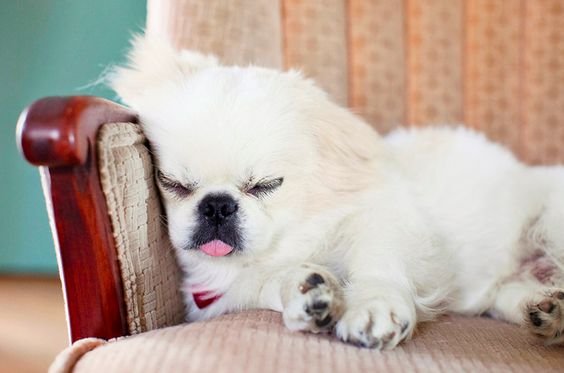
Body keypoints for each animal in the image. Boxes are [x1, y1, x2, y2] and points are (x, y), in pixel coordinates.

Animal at [110, 35, 564, 348]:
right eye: (173, 184)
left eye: (265, 186)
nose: (217, 206)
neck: (294, 235)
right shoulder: (225, 293)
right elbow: (268, 286)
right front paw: (307, 294)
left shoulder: (387, 219)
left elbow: (377, 263)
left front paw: (374, 308)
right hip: (510, 290)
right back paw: (550, 314)